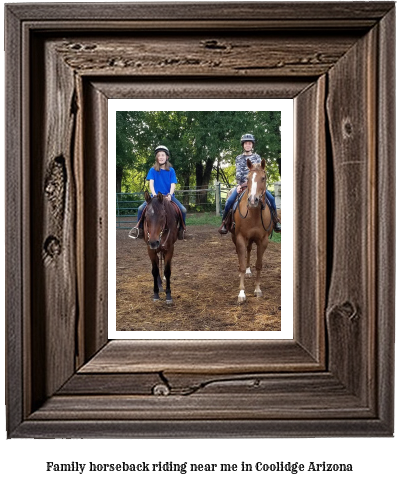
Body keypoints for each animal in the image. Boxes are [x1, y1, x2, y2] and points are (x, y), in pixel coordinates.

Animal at [231, 160, 276, 304]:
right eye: (248, 178)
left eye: (263, 178)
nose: (252, 200)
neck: (254, 213)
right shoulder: (240, 238)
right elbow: (242, 265)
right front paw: (241, 293)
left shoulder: (263, 241)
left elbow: (259, 265)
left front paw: (257, 289)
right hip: (235, 237)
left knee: (249, 250)